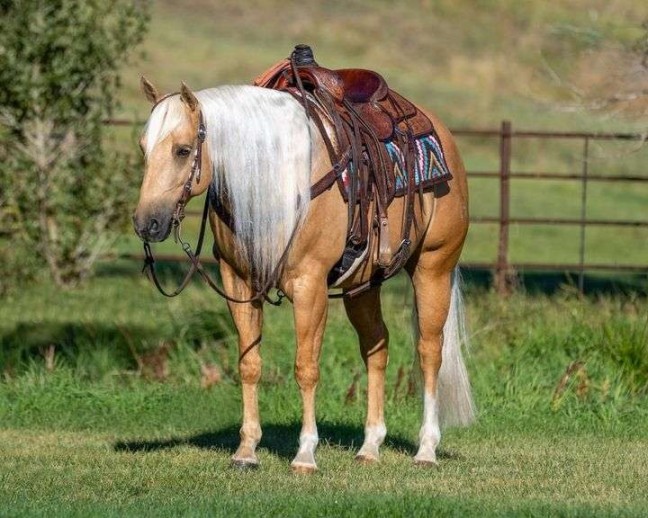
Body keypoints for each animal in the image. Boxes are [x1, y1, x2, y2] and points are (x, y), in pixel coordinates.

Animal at [133, 72, 474, 472]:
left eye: (183, 150)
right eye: (144, 148)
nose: (146, 223)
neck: (278, 181)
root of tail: (440, 131)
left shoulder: (309, 286)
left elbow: (306, 368)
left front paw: (305, 454)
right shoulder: (239, 281)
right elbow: (249, 364)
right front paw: (246, 451)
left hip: (433, 268)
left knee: (429, 352)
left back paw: (426, 449)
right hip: (363, 286)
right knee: (377, 347)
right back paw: (370, 447)